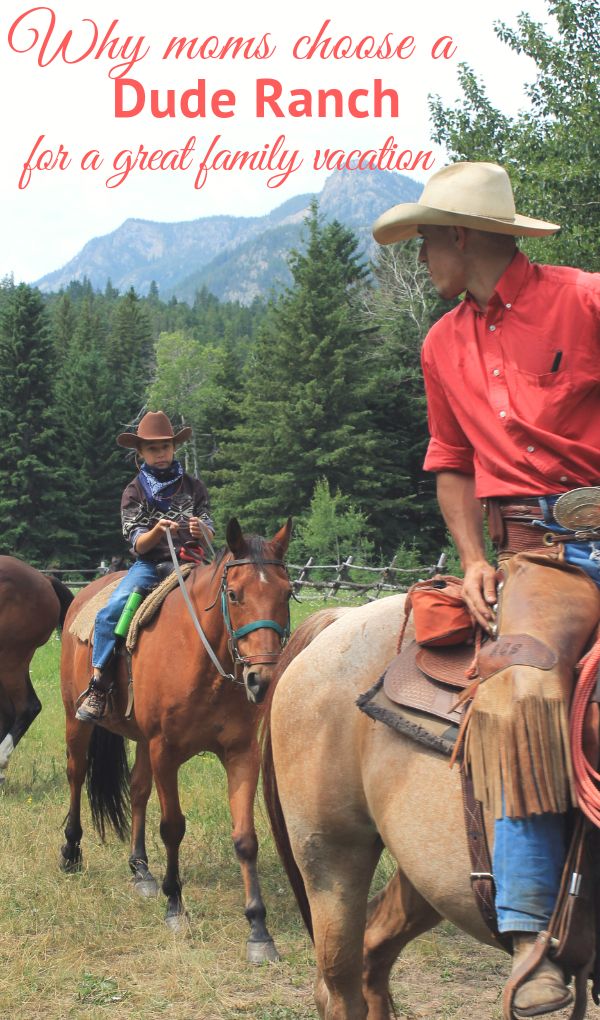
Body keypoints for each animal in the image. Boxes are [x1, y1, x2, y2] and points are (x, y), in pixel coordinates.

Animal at [60, 522, 293, 958]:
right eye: (234, 594)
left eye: (286, 593)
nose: (262, 680)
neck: (202, 656)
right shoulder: (164, 751)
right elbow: (172, 827)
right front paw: (174, 905)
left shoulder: (241, 754)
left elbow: (246, 839)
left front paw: (258, 928)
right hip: (76, 721)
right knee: (76, 776)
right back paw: (70, 853)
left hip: (140, 740)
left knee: (136, 790)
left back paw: (140, 870)